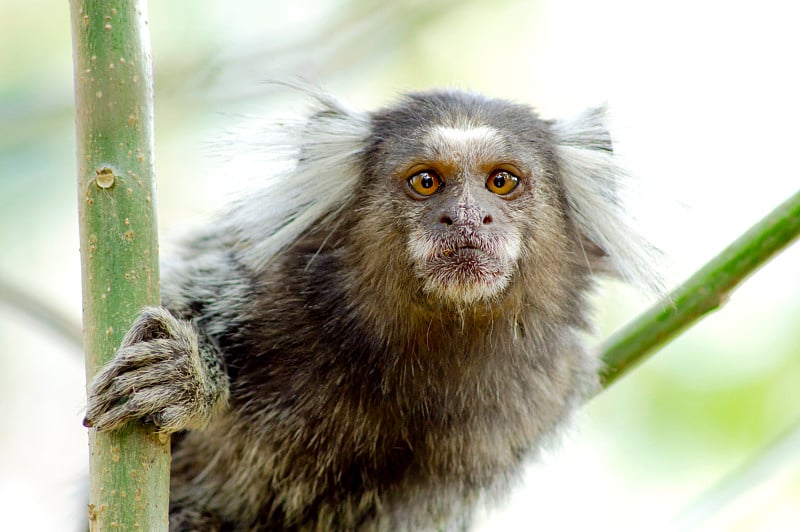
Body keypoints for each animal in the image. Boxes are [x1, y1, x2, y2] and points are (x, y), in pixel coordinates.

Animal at [81, 89, 660, 528]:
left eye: (502, 181)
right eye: (426, 181)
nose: (466, 217)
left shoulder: (542, 400)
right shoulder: (245, 289)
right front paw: (189, 377)